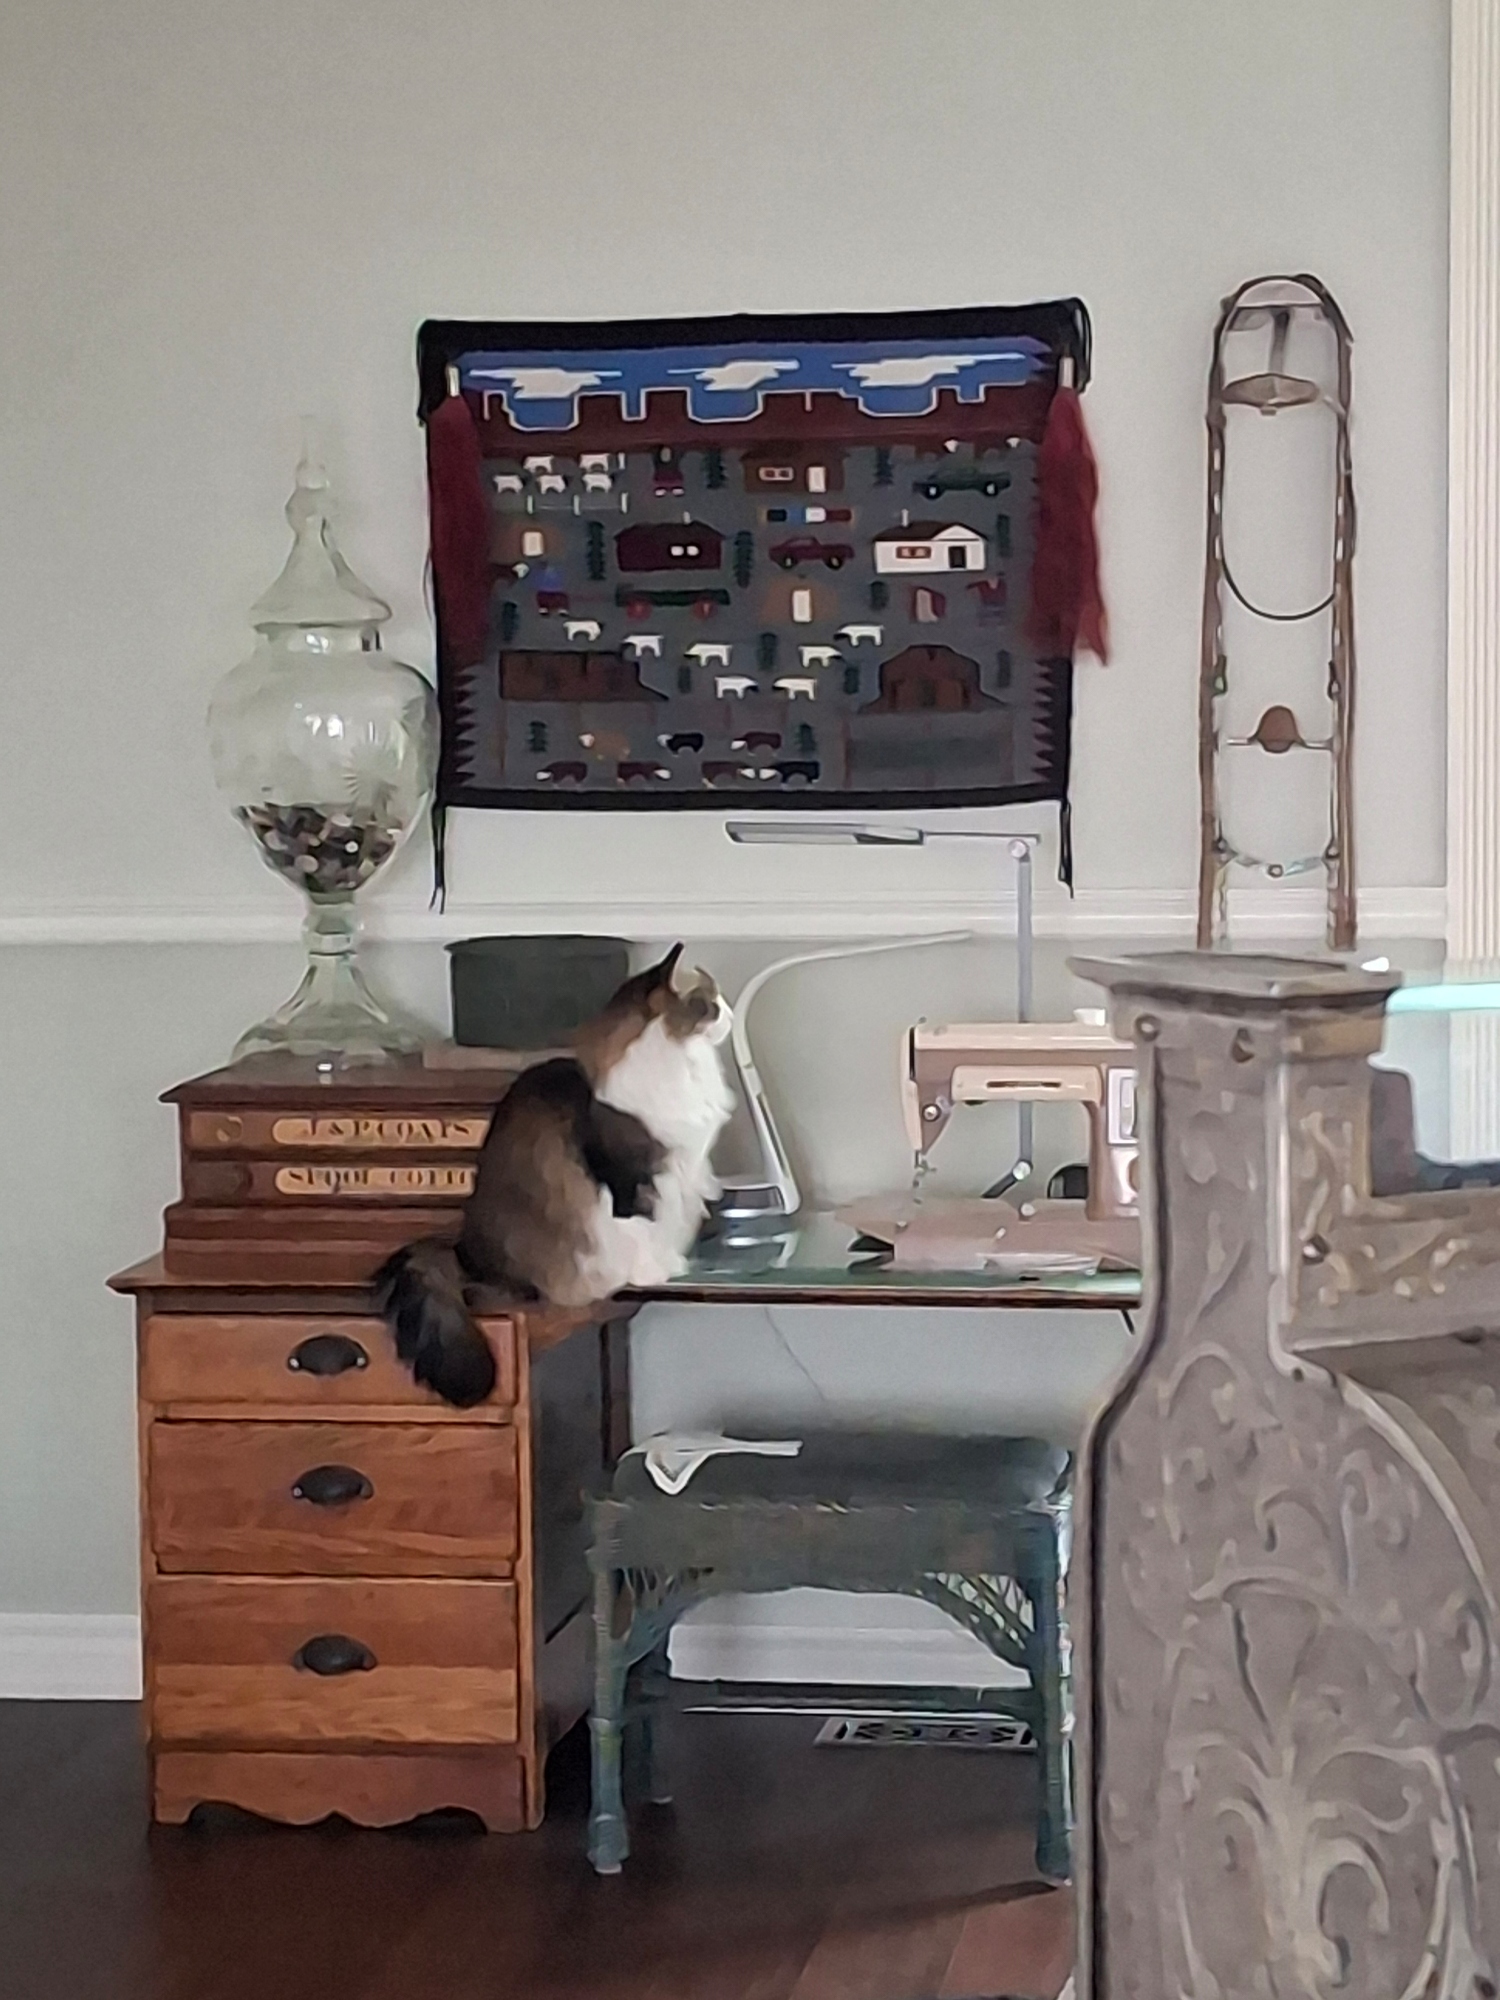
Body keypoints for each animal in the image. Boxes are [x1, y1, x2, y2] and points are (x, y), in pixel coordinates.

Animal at [375, 945, 735, 1406]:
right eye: (709, 1003)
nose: (729, 1015)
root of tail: (462, 1255)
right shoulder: (630, 1180)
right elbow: (642, 1231)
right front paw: (658, 1272)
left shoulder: (678, 1176)